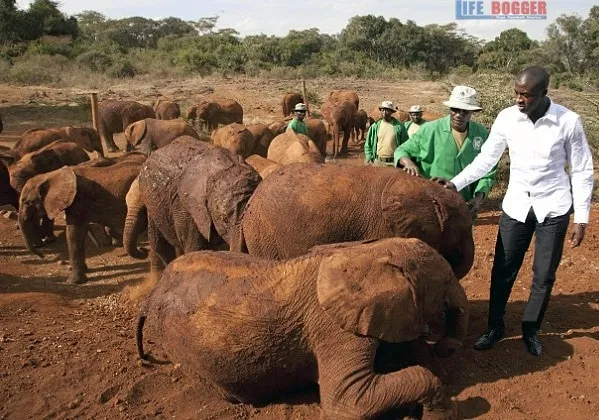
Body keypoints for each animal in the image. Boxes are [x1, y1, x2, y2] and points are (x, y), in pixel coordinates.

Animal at [123, 136, 260, 278]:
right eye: (224, 220)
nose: (142, 250)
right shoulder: (187, 208)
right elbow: (196, 249)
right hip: (155, 204)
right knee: (160, 244)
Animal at [138, 238, 466, 418]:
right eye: (444, 282)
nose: (447, 348)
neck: (370, 252)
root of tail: (152, 293)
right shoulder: (332, 327)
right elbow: (347, 402)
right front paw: (439, 413)